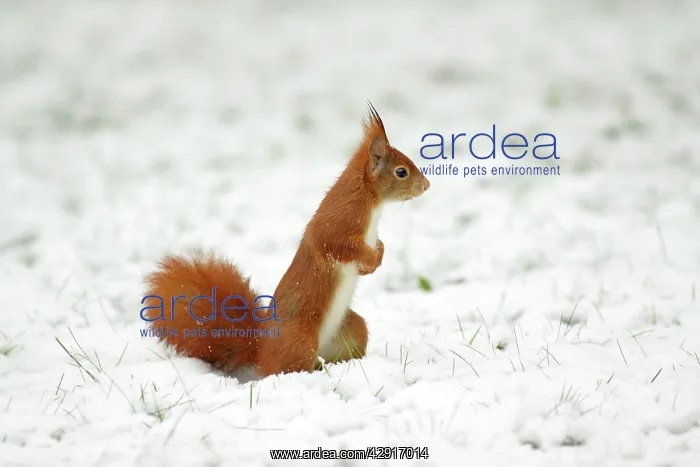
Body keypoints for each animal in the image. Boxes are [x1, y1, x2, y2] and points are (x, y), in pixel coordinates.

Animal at [142, 103, 430, 378]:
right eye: (401, 172)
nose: (426, 185)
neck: (369, 200)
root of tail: (260, 350)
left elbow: (379, 246)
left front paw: (376, 258)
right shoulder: (336, 225)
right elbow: (336, 245)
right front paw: (370, 259)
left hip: (351, 329)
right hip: (300, 340)